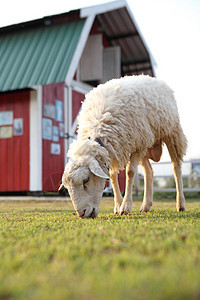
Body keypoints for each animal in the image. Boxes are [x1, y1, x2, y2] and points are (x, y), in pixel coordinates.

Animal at [58, 75, 187, 218]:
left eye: (86, 180)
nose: (82, 214)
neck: (98, 130)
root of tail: (151, 78)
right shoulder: (115, 150)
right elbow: (112, 176)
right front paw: (118, 206)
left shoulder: (134, 146)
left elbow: (130, 172)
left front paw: (125, 206)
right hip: (145, 142)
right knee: (149, 171)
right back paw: (146, 205)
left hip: (171, 132)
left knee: (176, 167)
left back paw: (180, 204)